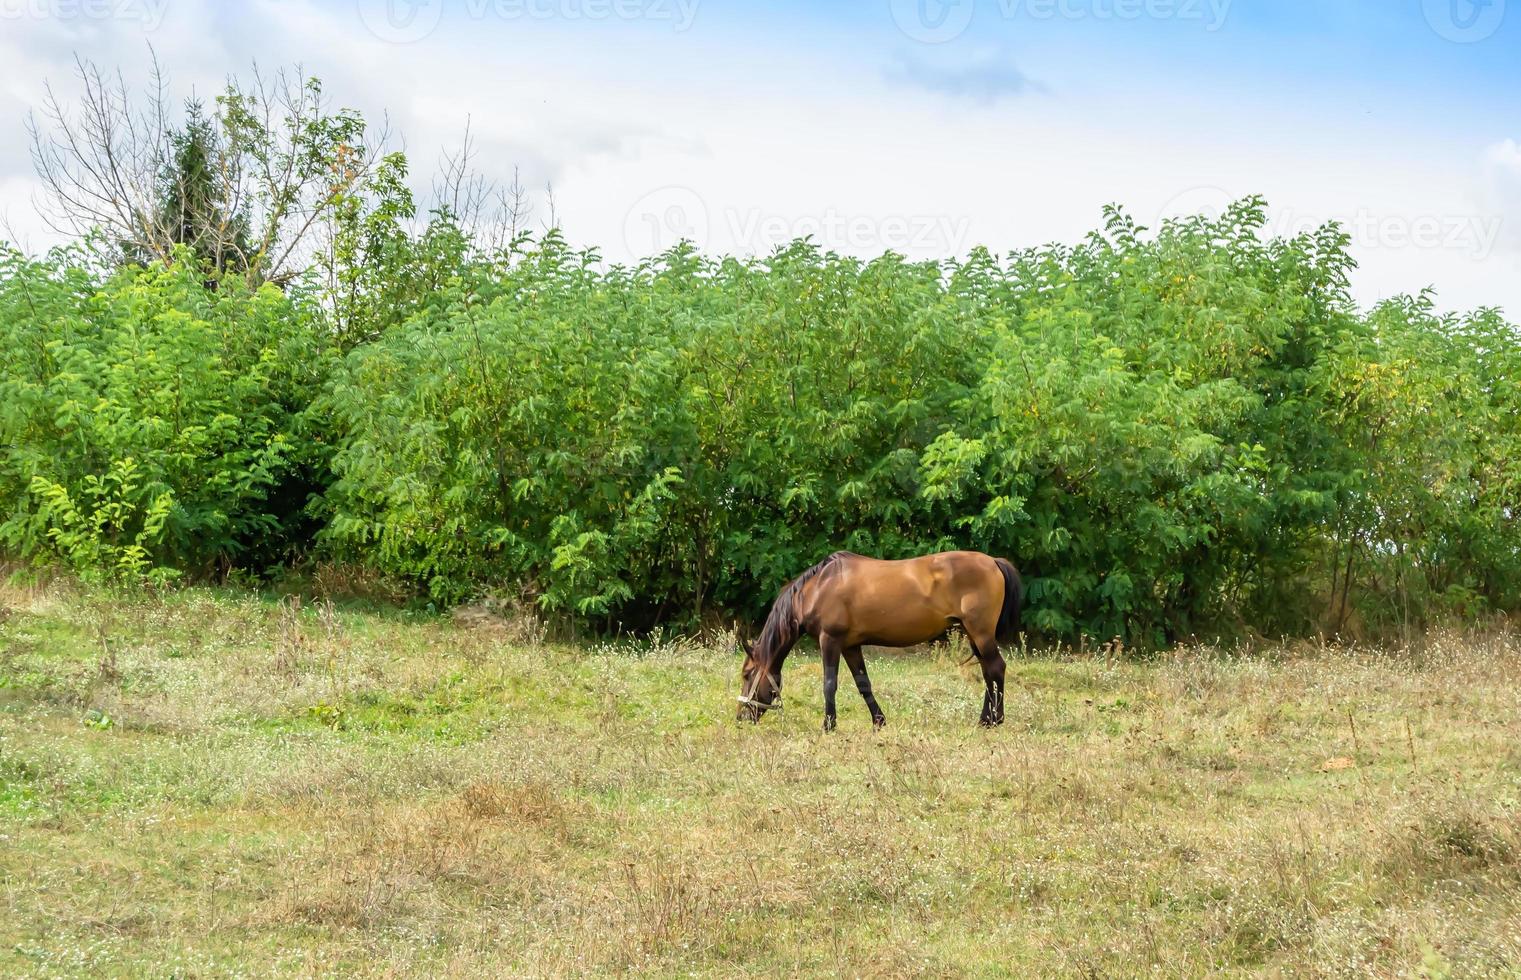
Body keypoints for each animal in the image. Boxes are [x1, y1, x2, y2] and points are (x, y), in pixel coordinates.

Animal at [736, 550, 1022, 727]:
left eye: (747, 674)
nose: (742, 717)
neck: (818, 588)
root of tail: (993, 561)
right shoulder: (850, 646)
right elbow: (864, 684)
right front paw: (879, 721)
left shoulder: (830, 641)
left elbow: (829, 684)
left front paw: (828, 725)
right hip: (974, 634)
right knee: (988, 673)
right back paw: (987, 718)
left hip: (980, 633)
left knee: (996, 669)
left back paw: (993, 720)